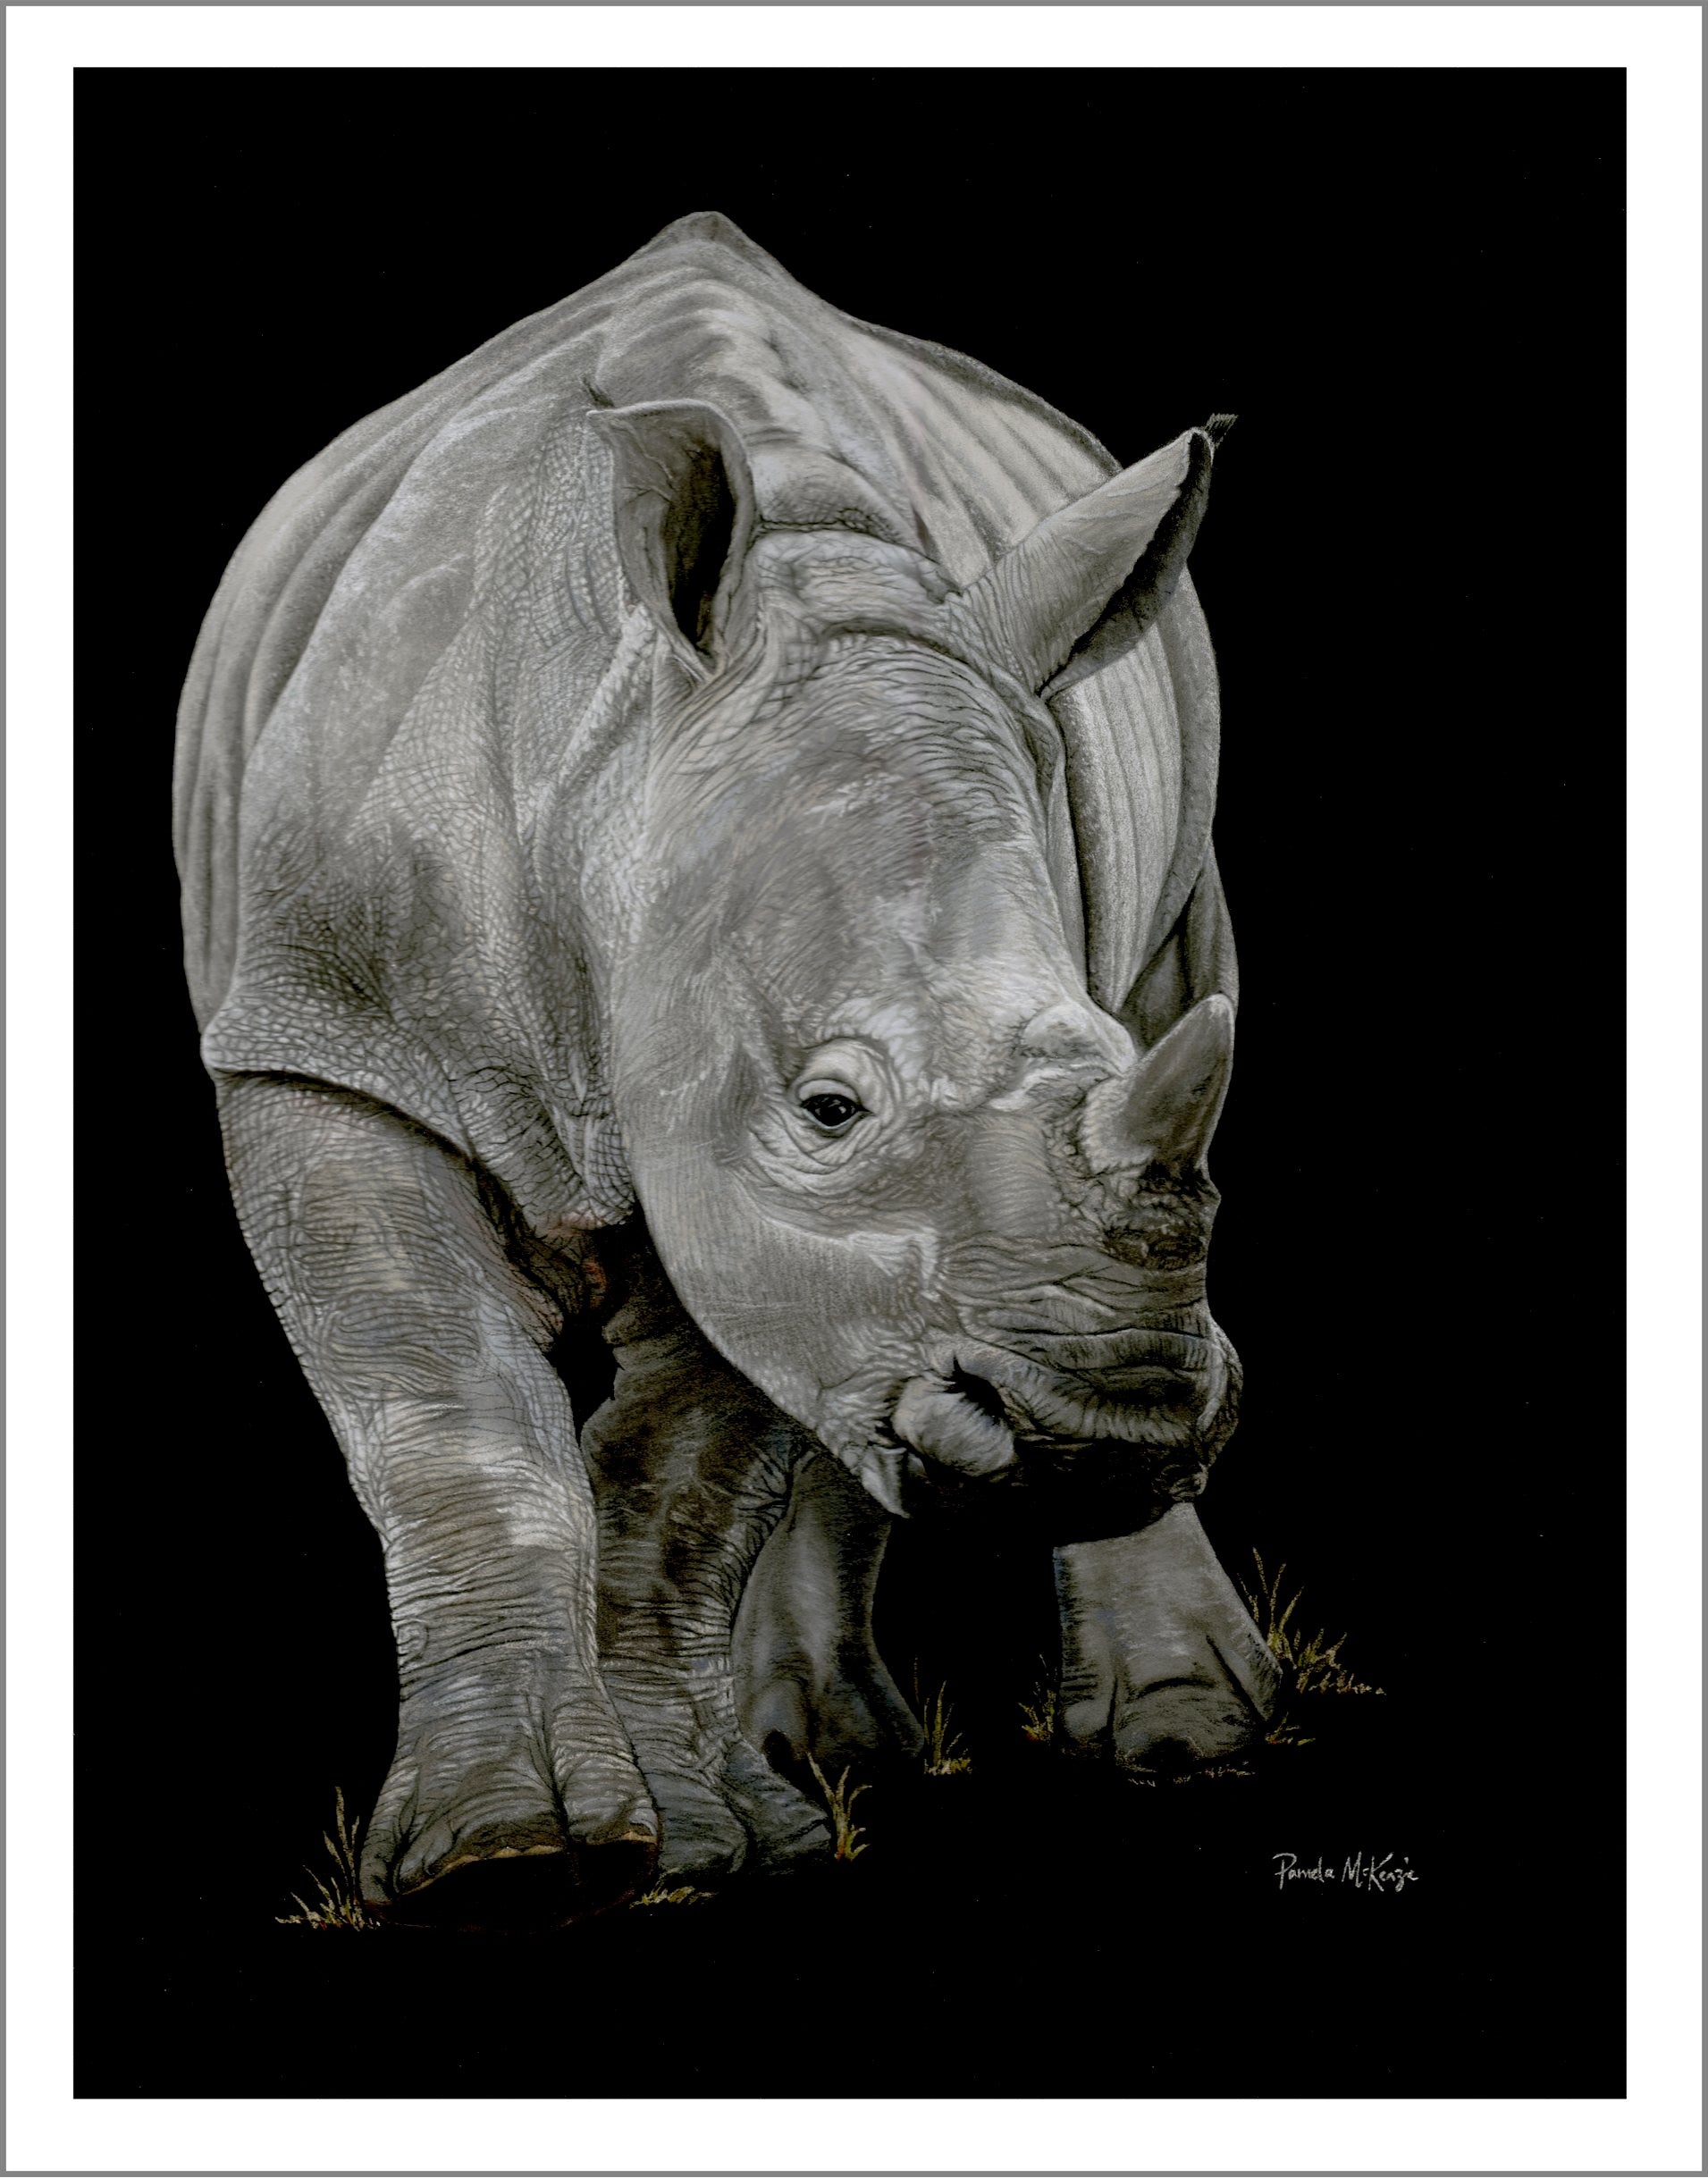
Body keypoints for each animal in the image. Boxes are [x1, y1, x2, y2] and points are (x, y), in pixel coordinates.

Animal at [175, 210, 1278, 1930]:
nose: (1111, 1430)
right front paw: (512, 1855)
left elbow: (687, 1474)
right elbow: (453, 1417)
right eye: (827, 1108)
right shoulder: (325, 1041)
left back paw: (1134, 1742)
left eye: (1107, 1062)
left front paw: (687, 1847)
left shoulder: (731, 1163)